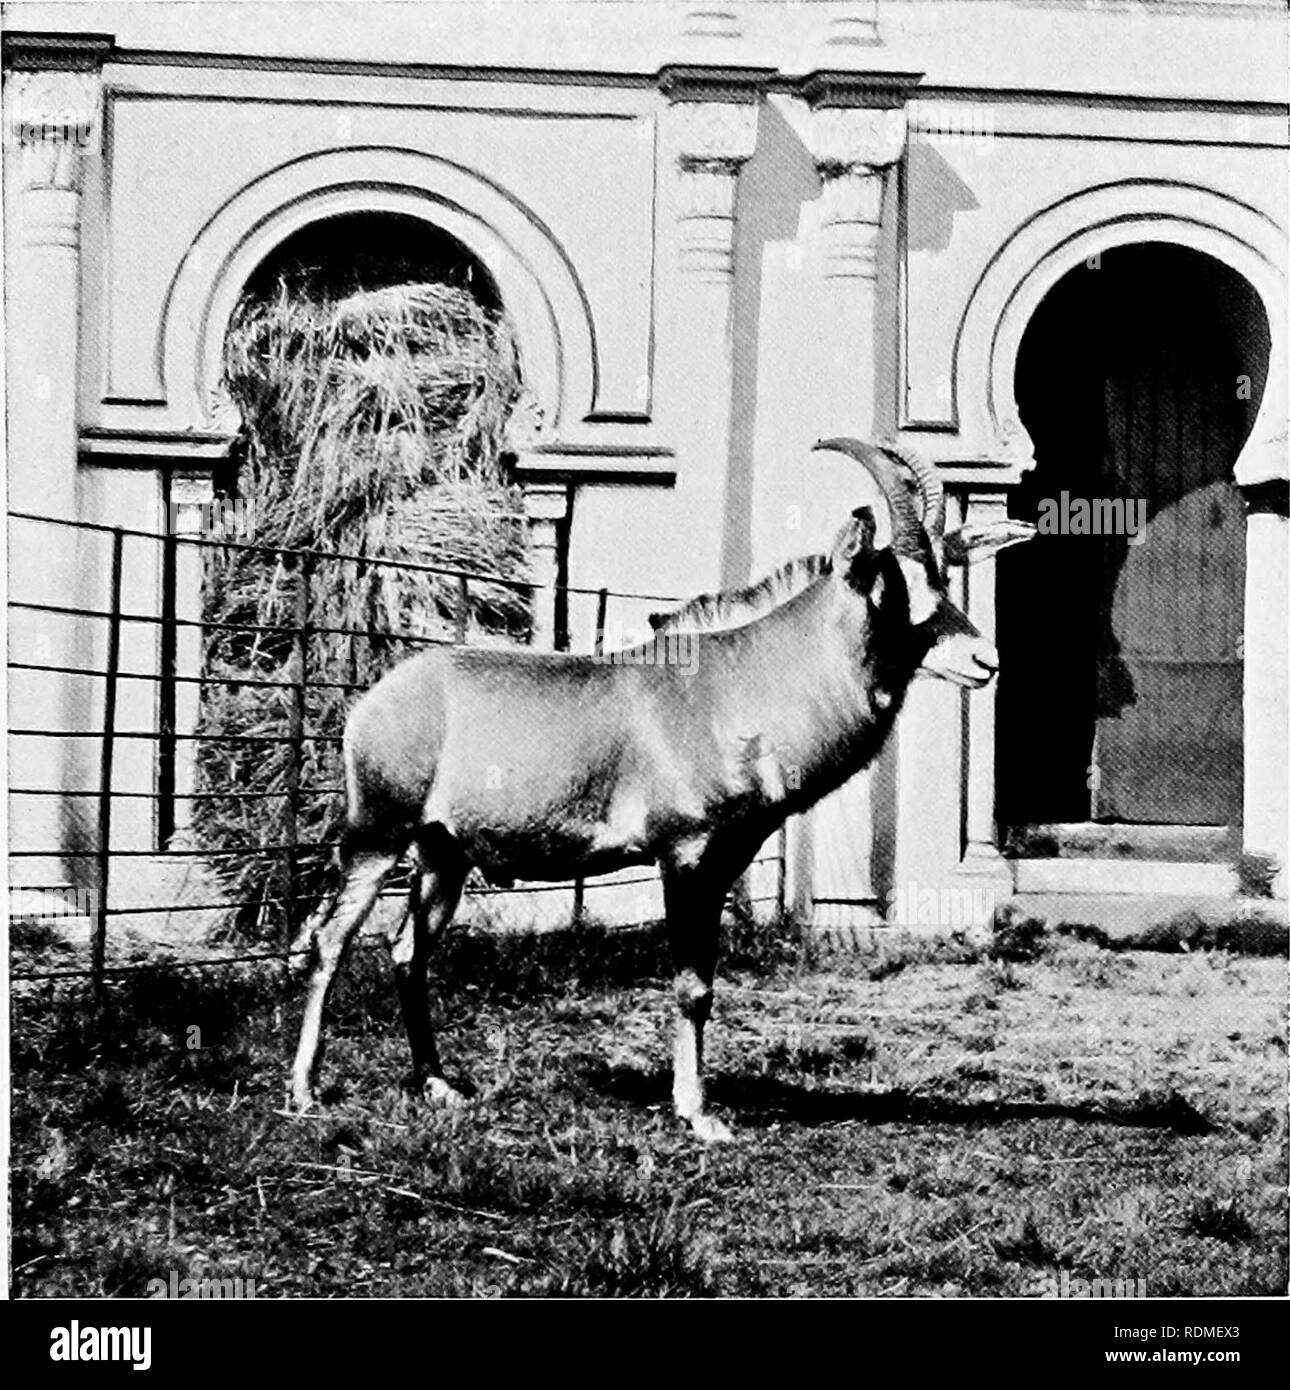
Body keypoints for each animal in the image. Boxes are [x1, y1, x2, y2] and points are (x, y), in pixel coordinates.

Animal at [289, 438, 1034, 1141]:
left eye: (943, 576)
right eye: (893, 587)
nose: (985, 660)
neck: (743, 682)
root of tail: (377, 698)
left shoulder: (726, 860)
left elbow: (704, 981)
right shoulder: (685, 856)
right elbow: (691, 985)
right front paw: (697, 1114)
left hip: (444, 854)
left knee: (407, 951)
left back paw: (438, 1085)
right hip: (377, 837)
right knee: (331, 941)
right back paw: (303, 1091)